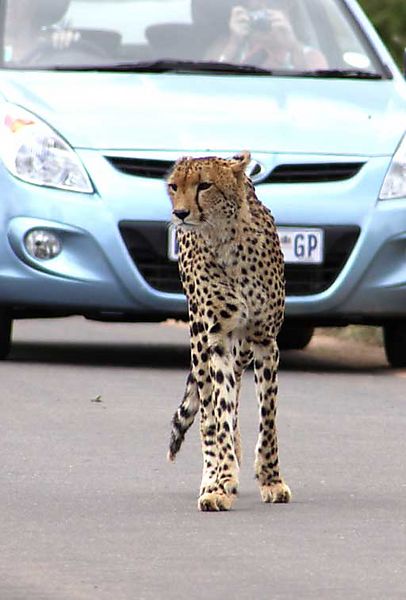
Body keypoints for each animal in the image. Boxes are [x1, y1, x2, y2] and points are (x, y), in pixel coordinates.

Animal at [167, 151, 290, 510]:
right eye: (174, 186)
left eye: (204, 185)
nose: (180, 214)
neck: (225, 241)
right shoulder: (216, 340)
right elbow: (218, 413)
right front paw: (220, 482)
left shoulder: (265, 340)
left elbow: (268, 418)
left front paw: (271, 480)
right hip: (199, 339)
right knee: (208, 412)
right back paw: (214, 474)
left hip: (242, 348)